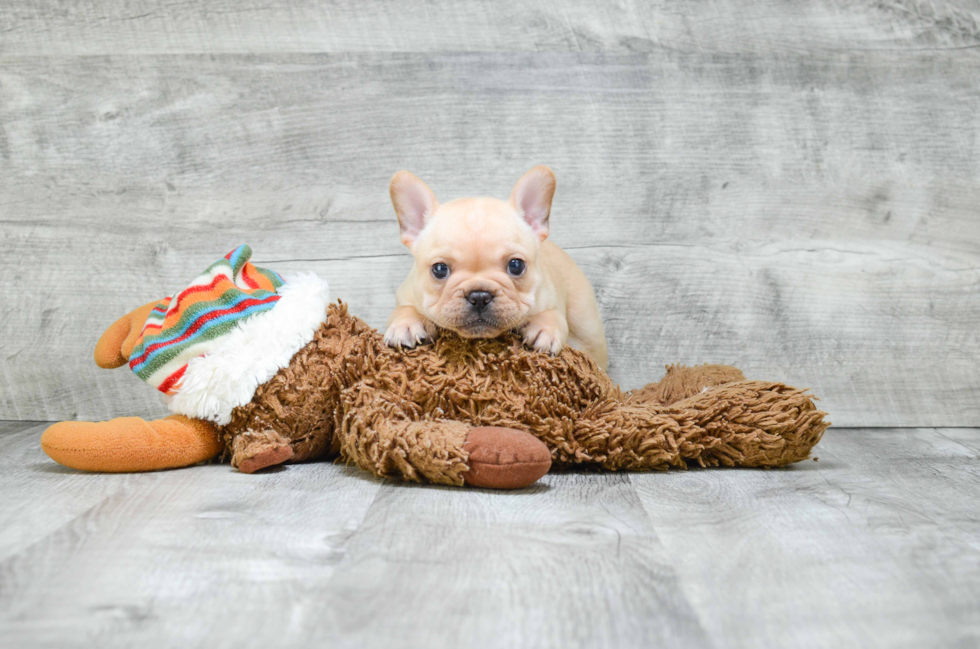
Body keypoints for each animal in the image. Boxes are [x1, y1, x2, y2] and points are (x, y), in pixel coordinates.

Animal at [380, 166, 604, 370]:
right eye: (440, 269)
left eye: (516, 266)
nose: (479, 296)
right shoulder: (406, 294)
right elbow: (402, 309)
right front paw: (406, 325)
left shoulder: (550, 296)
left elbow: (554, 315)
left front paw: (545, 329)